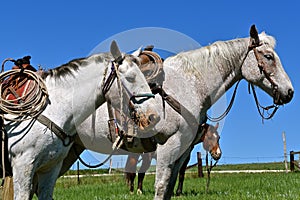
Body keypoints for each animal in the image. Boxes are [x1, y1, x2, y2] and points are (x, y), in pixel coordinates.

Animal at [58, 24, 292, 198]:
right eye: (268, 56)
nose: (289, 92)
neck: (189, 85)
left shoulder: (182, 152)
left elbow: (170, 187)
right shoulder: (168, 146)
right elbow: (161, 186)